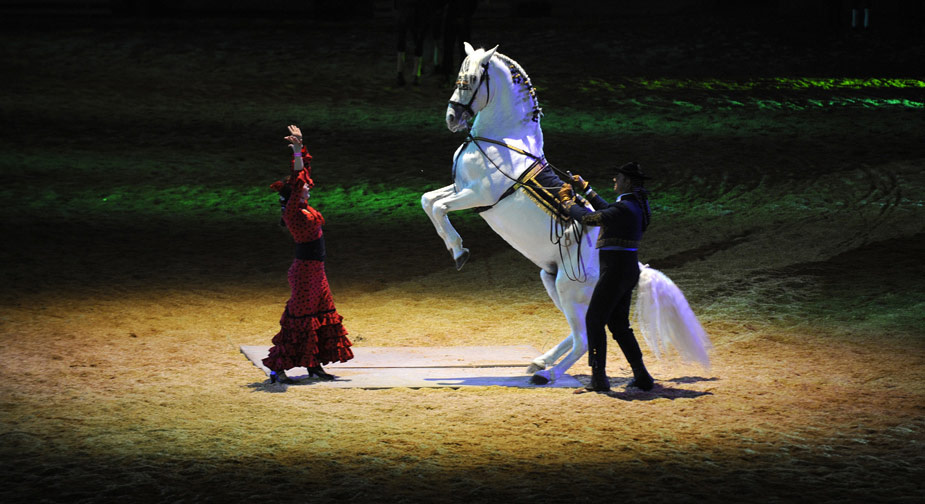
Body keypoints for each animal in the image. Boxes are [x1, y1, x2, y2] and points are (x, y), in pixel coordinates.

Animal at [422, 43, 712, 384]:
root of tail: (637, 267)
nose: (452, 118)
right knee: (580, 333)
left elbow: (439, 207)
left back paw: (548, 373)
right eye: (459, 76)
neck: (503, 141)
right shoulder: (461, 188)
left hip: (570, 289)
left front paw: (459, 252)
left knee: (585, 338)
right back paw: (540, 362)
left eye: (472, 79)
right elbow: (429, 201)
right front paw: (457, 250)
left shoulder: (477, 194)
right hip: (553, 281)